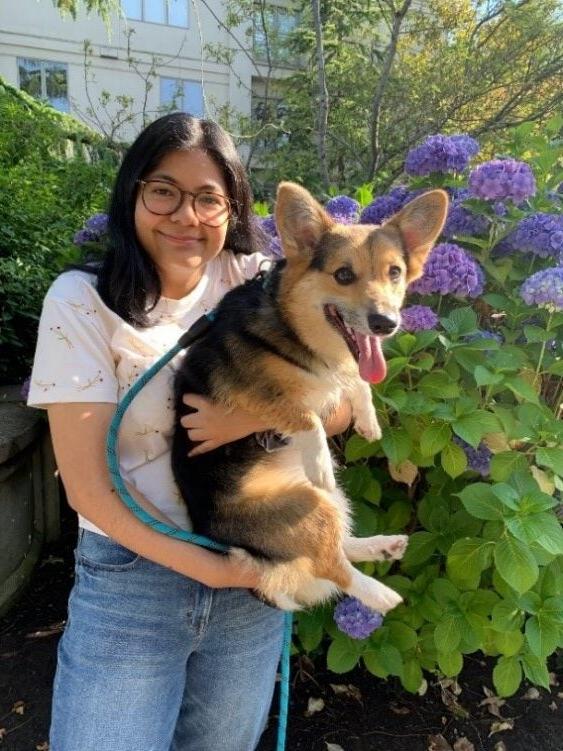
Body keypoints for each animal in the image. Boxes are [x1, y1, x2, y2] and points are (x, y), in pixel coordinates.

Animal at [172, 184, 450, 616]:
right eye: (343, 274)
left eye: (395, 273)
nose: (385, 324)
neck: (294, 327)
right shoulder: (246, 389)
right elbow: (306, 416)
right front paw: (319, 458)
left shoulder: (342, 369)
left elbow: (356, 382)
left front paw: (368, 421)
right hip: (311, 502)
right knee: (330, 564)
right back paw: (381, 594)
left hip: (328, 503)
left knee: (336, 548)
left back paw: (383, 546)